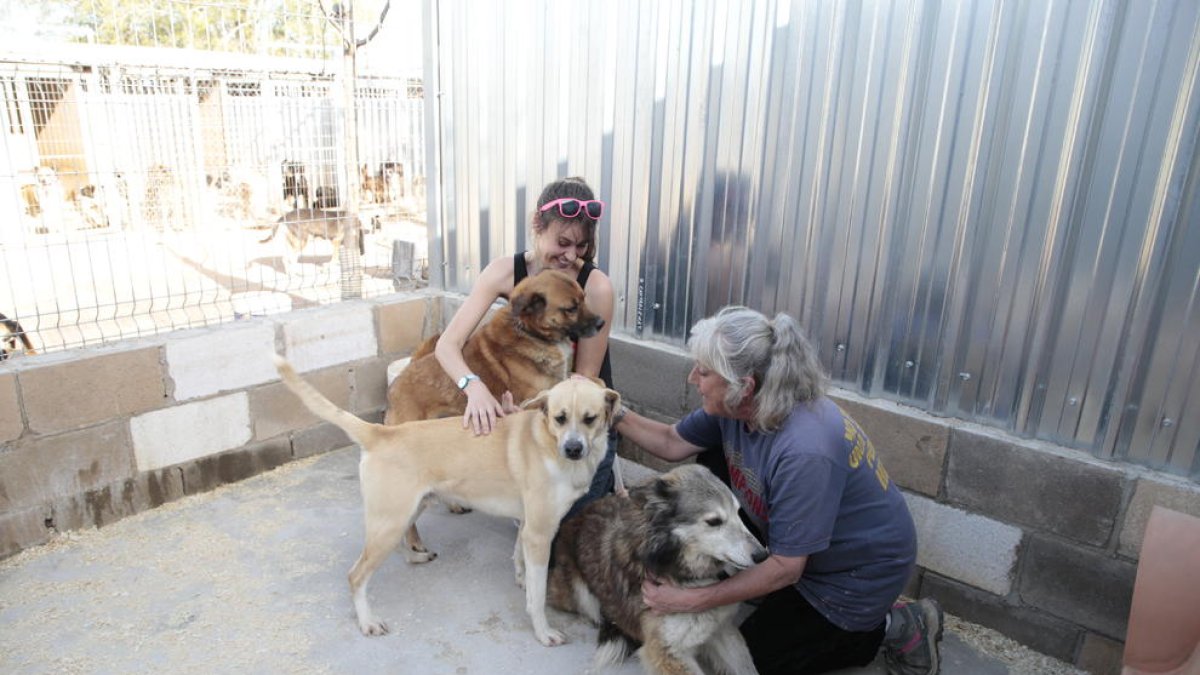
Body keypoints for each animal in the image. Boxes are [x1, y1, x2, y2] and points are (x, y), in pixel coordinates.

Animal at [273, 353, 624, 638]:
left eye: (590, 418)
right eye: (559, 417)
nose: (573, 449)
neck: (548, 442)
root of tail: (382, 433)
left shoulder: (527, 526)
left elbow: (519, 560)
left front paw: (521, 579)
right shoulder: (540, 533)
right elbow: (537, 598)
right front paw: (543, 632)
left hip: (406, 513)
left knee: (398, 545)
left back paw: (415, 557)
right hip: (390, 521)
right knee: (355, 575)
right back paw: (368, 621)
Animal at [384, 266, 604, 420]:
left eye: (584, 299)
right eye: (571, 308)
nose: (602, 323)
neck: (530, 332)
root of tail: (393, 388)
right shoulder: (529, 400)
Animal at [549, 461, 763, 672]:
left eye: (738, 512)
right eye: (714, 521)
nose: (762, 555)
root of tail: (576, 516)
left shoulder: (722, 628)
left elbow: (747, 668)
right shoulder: (666, 650)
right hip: (578, 594)